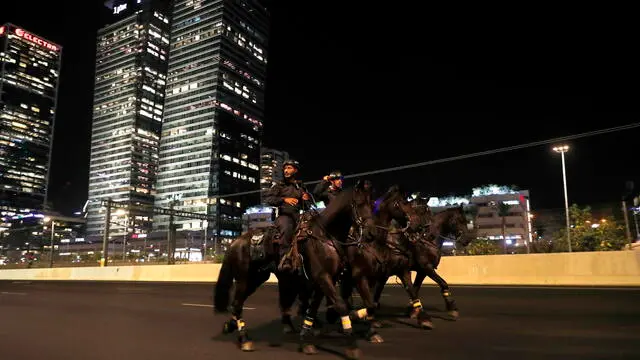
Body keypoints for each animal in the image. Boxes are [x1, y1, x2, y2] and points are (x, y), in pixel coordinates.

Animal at [212, 181, 378, 358]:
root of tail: (235, 242)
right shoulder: (323, 277)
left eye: (372, 203)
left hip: (257, 278)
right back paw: (244, 339)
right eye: (359, 203)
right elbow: (340, 305)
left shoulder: (326, 280)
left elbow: (313, 308)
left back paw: (232, 327)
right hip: (244, 278)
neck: (325, 236)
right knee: (238, 303)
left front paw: (306, 339)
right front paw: (352, 345)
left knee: (240, 303)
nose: (371, 233)